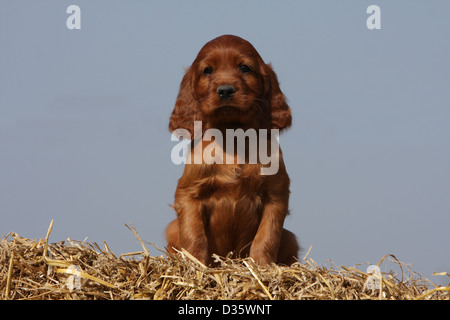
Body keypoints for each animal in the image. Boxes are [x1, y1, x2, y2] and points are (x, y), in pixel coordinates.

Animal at [165, 34, 298, 264]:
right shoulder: (189, 193)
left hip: (290, 238)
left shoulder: (276, 195)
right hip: (172, 228)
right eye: (207, 70)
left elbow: (266, 237)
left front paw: (260, 265)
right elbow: (193, 235)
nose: (225, 90)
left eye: (244, 68)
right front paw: (196, 264)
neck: (233, 136)